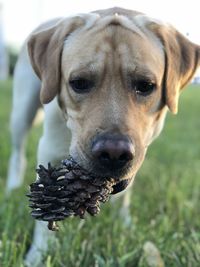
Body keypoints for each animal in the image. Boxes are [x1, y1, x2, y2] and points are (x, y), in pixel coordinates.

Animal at [6, 7, 200, 266]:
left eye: (146, 85)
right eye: (79, 83)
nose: (114, 153)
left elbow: (125, 195)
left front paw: (124, 225)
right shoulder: (49, 147)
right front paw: (38, 255)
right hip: (22, 110)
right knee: (17, 155)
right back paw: (11, 188)